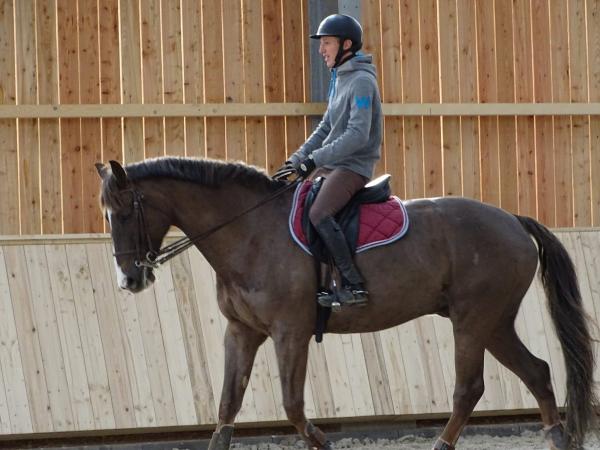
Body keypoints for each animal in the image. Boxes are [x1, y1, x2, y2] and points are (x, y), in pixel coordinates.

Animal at [96, 157, 596, 450]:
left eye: (124, 212)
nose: (129, 279)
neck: (251, 232)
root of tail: (511, 219)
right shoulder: (242, 331)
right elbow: (226, 408)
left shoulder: (290, 332)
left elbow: (293, 407)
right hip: (494, 323)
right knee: (537, 373)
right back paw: (558, 439)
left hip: (473, 322)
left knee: (469, 389)